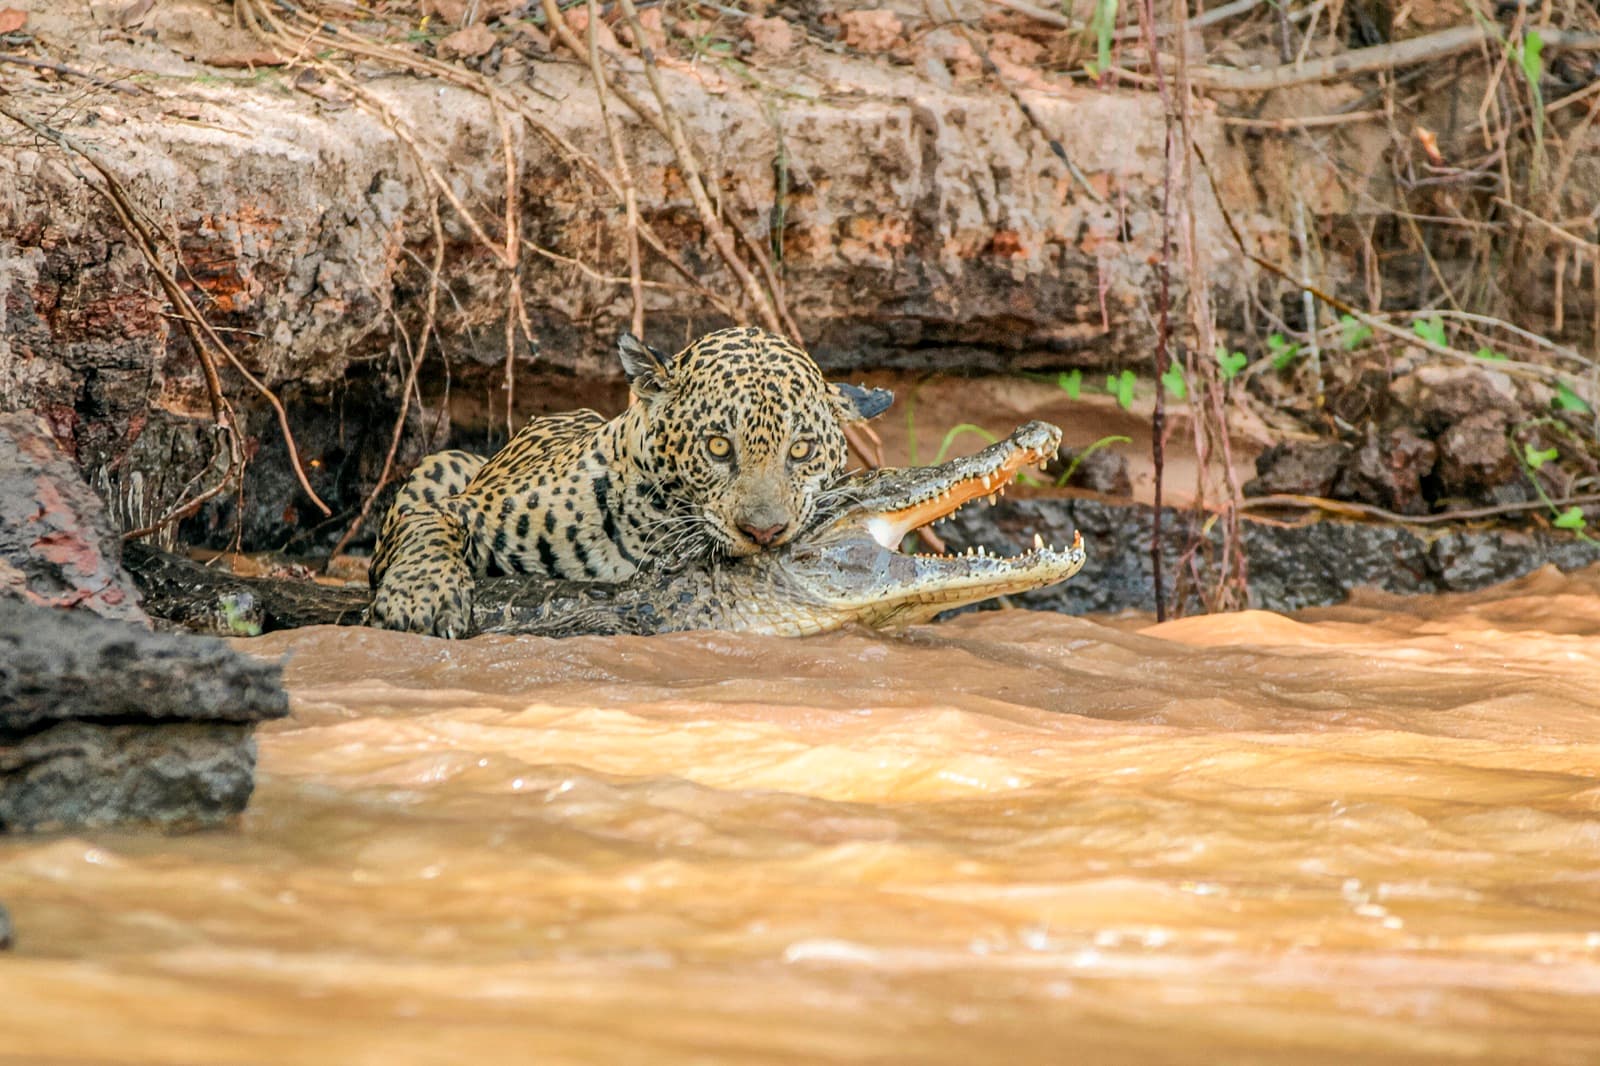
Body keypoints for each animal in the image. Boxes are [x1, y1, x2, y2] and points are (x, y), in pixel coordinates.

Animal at [367, 326, 892, 637]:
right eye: (718, 446)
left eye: (801, 449)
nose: (764, 533)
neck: (654, 528)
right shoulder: (458, 507)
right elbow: (425, 526)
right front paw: (417, 600)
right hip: (448, 458)